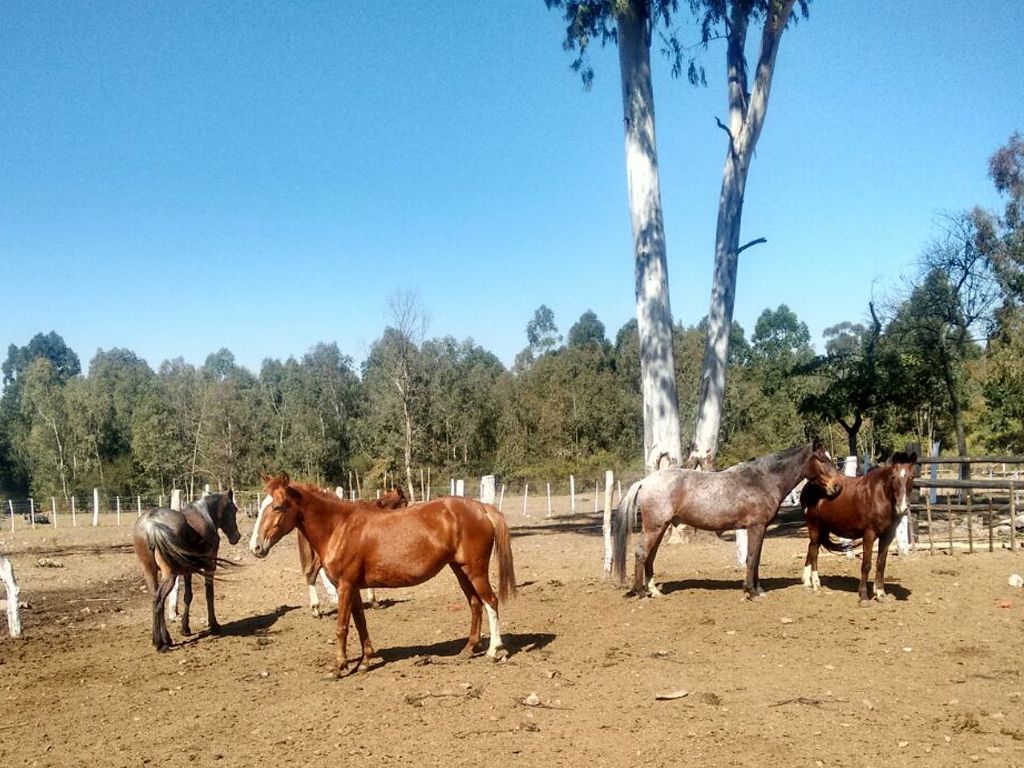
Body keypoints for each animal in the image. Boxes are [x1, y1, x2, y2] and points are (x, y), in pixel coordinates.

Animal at [132, 491, 241, 651]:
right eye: (234, 510)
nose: (237, 537)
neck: (205, 515)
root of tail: (152, 524)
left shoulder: (187, 571)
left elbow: (187, 596)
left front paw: (185, 628)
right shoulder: (210, 567)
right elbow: (209, 594)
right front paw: (214, 625)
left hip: (150, 571)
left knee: (156, 600)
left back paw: (165, 639)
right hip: (169, 575)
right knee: (158, 599)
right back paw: (159, 643)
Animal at [250, 473, 516, 676]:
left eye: (277, 506)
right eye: (261, 507)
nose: (256, 547)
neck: (340, 527)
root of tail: (482, 508)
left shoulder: (345, 586)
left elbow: (342, 627)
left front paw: (339, 667)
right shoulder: (353, 588)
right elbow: (360, 623)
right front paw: (366, 660)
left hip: (475, 571)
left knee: (490, 601)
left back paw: (493, 651)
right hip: (460, 570)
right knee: (475, 604)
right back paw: (468, 649)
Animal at [612, 440, 844, 600]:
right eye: (822, 459)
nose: (837, 486)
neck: (763, 480)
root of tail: (645, 482)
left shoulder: (759, 529)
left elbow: (756, 558)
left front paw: (757, 588)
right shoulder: (756, 527)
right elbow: (752, 557)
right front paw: (752, 592)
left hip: (660, 528)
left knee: (650, 556)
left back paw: (654, 591)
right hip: (654, 527)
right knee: (641, 553)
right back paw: (641, 593)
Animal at [800, 451, 917, 603]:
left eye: (912, 476)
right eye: (893, 477)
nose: (901, 508)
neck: (879, 495)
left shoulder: (887, 535)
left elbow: (881, 563)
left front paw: (880, 593)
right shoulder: (869, 534)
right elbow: (866, 564)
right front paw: (864, 596)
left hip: (822, 528)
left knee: (811, 548)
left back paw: (807, 582)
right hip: (814, 526)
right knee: (814, 551)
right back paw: (815, 584)